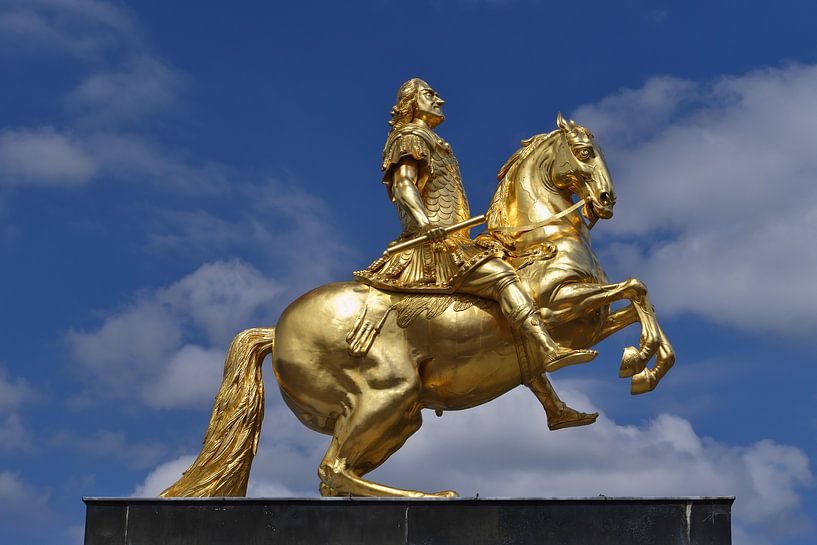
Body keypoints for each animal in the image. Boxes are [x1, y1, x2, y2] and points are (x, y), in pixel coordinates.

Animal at [161, 115, 676, 498]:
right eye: (585, 152)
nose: (607, 200)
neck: (539, 240)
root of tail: (275, 329)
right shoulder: (557, 309)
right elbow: (632, 289)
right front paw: (635, 363)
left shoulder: (592, 320)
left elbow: (637, 299)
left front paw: (642, 366)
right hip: (388, 393)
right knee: (333, 469)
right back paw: (432, 495)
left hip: (401, 416)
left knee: (338, 475)